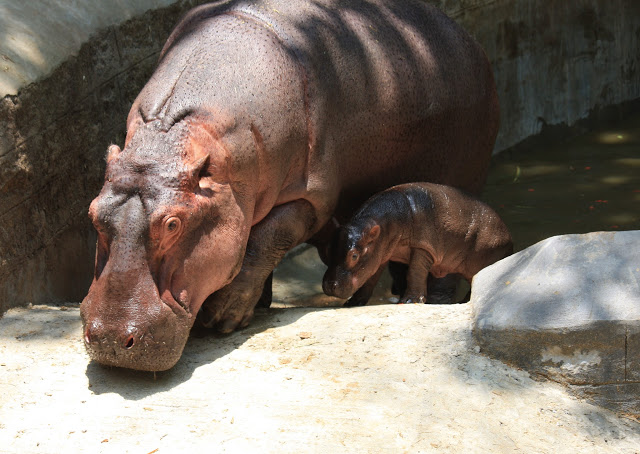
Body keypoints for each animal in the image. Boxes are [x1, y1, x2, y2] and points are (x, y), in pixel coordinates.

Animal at [323, 183, 514, 306]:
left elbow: (414, 272)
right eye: (329, 248)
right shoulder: (379, 254)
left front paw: (409, 301)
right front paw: (353, 303)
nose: (330, 285)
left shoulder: (423, 247)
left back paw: (462, 302)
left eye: (354, 255)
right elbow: (369, 279)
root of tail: (508, 235)